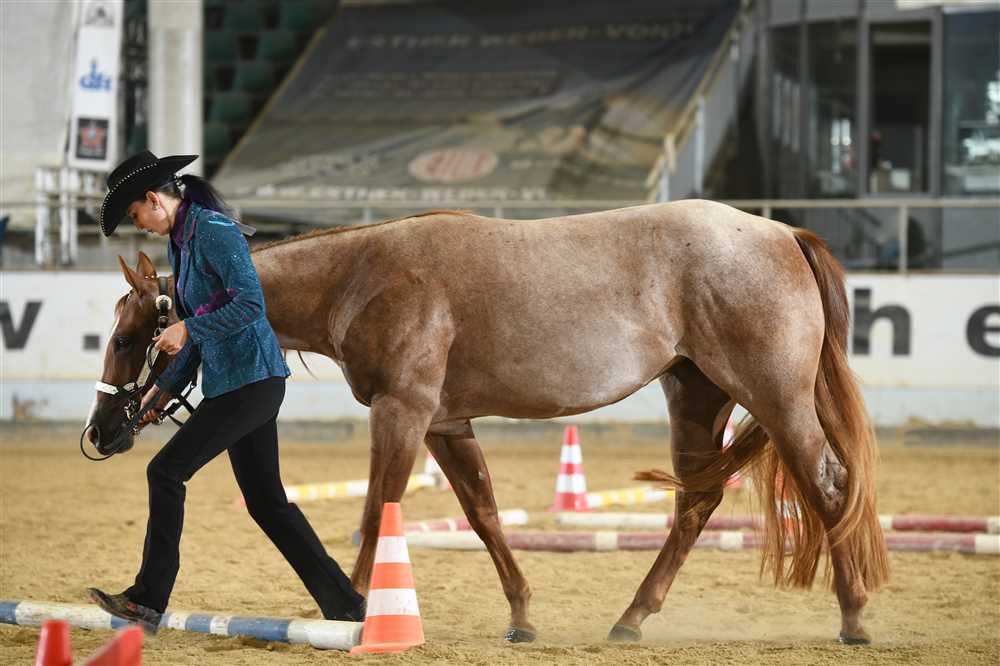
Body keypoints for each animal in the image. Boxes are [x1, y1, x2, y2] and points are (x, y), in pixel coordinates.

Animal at [85, 199, 889, 645]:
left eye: (126, 337)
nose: (101, 432)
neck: (364, 275)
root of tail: (782, 234)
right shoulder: (447, 424)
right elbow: (484, 514)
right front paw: (522, 616)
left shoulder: (403, 413)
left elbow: (378, 512)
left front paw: (355, 614)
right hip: (696, 396)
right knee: (697, 501)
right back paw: (631, 618)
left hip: (777, 398)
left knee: (829, 485)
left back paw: (854, 619)